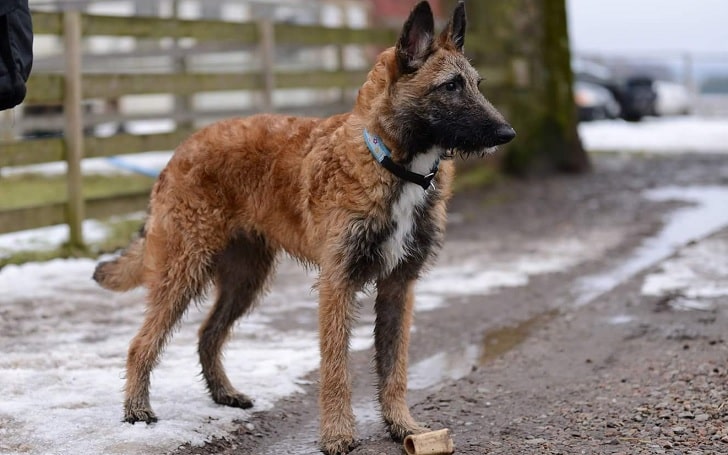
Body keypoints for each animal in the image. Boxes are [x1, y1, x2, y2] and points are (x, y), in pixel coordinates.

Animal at [92, 1, 512, 454]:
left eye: (477, 84)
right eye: (451, 86)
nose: (507, 133)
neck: (390, 161)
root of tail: (180, 150)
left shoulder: (399, 286)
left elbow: (394, 365)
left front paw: (403, 425)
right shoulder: (337, 283)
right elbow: (335, 367)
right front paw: (337, 434)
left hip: (245, 279)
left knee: (208, 334)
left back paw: (223, 393)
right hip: (183, 269)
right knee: (142, 343)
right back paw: (137, 409)